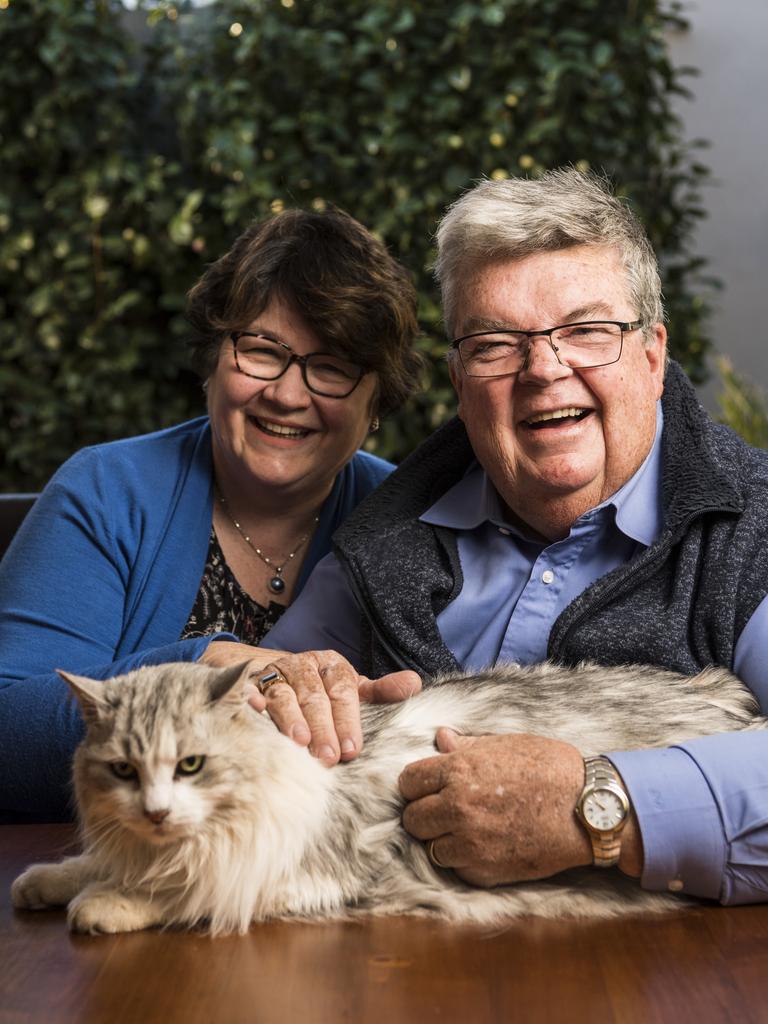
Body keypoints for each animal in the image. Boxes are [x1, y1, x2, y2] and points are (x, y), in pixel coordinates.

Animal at [12, 655, 768, 937]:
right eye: (122, 771)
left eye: (191, 765)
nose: (157, 812)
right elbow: (93, 863)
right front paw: (47, 880)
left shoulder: (304, 872)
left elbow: (184, 892)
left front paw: (106, 905)